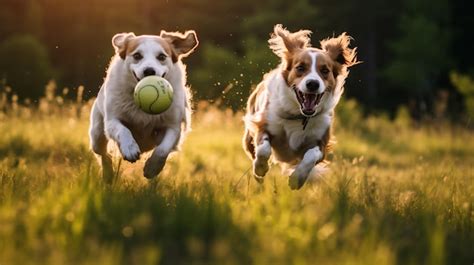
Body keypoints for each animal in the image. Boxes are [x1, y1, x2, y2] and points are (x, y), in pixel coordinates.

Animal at [89, 29, 198, 180]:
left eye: (161, 56)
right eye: (137, 55)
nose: (149, 71)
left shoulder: (174, 126)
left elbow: (163, 149)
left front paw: (152, 168)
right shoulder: (112, 120)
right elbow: (123, 130)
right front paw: (130, 149)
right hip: (97, 134)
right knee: (103, 154)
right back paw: (108, 174)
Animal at [243, 24, 358, 189]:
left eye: (325, 70)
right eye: (300, 68)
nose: (313, 84)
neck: (300, 115)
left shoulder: (321, 142)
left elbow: (310, 156)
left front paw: (297, 179)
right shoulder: (263, 124)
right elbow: (264, 149)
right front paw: (260, 169)